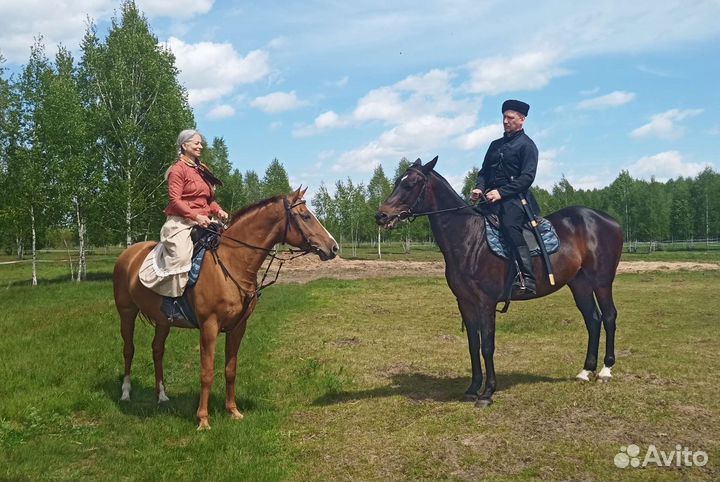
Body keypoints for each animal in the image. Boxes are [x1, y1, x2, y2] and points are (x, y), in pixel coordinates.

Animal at [113, 188, 338, 429]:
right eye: (305, 216)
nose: (333, 247)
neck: (232, 262)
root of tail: (128, 254)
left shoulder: (237, 327)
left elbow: (230, 370)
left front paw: (233, 411)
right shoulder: (209, 327)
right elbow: (207, 372)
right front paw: (203, 419)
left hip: (163, 320)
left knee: (157, 350)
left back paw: (162, 396)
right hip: (126, 312)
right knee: (129, 349)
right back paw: (125, 393)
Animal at [375, 158, 623, 408]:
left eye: (411, 184)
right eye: (397, 181)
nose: (381, 216)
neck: (469, 238)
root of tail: (610, 220)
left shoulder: (486, 302)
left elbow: (487, 346)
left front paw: (487, 393)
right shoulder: (465, 302)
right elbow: (473, 345)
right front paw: (472, 389)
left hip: (602, 281)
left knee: (609, 316)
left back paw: (605, 370)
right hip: (579, 284)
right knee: (593, 319)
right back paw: (585, 371)